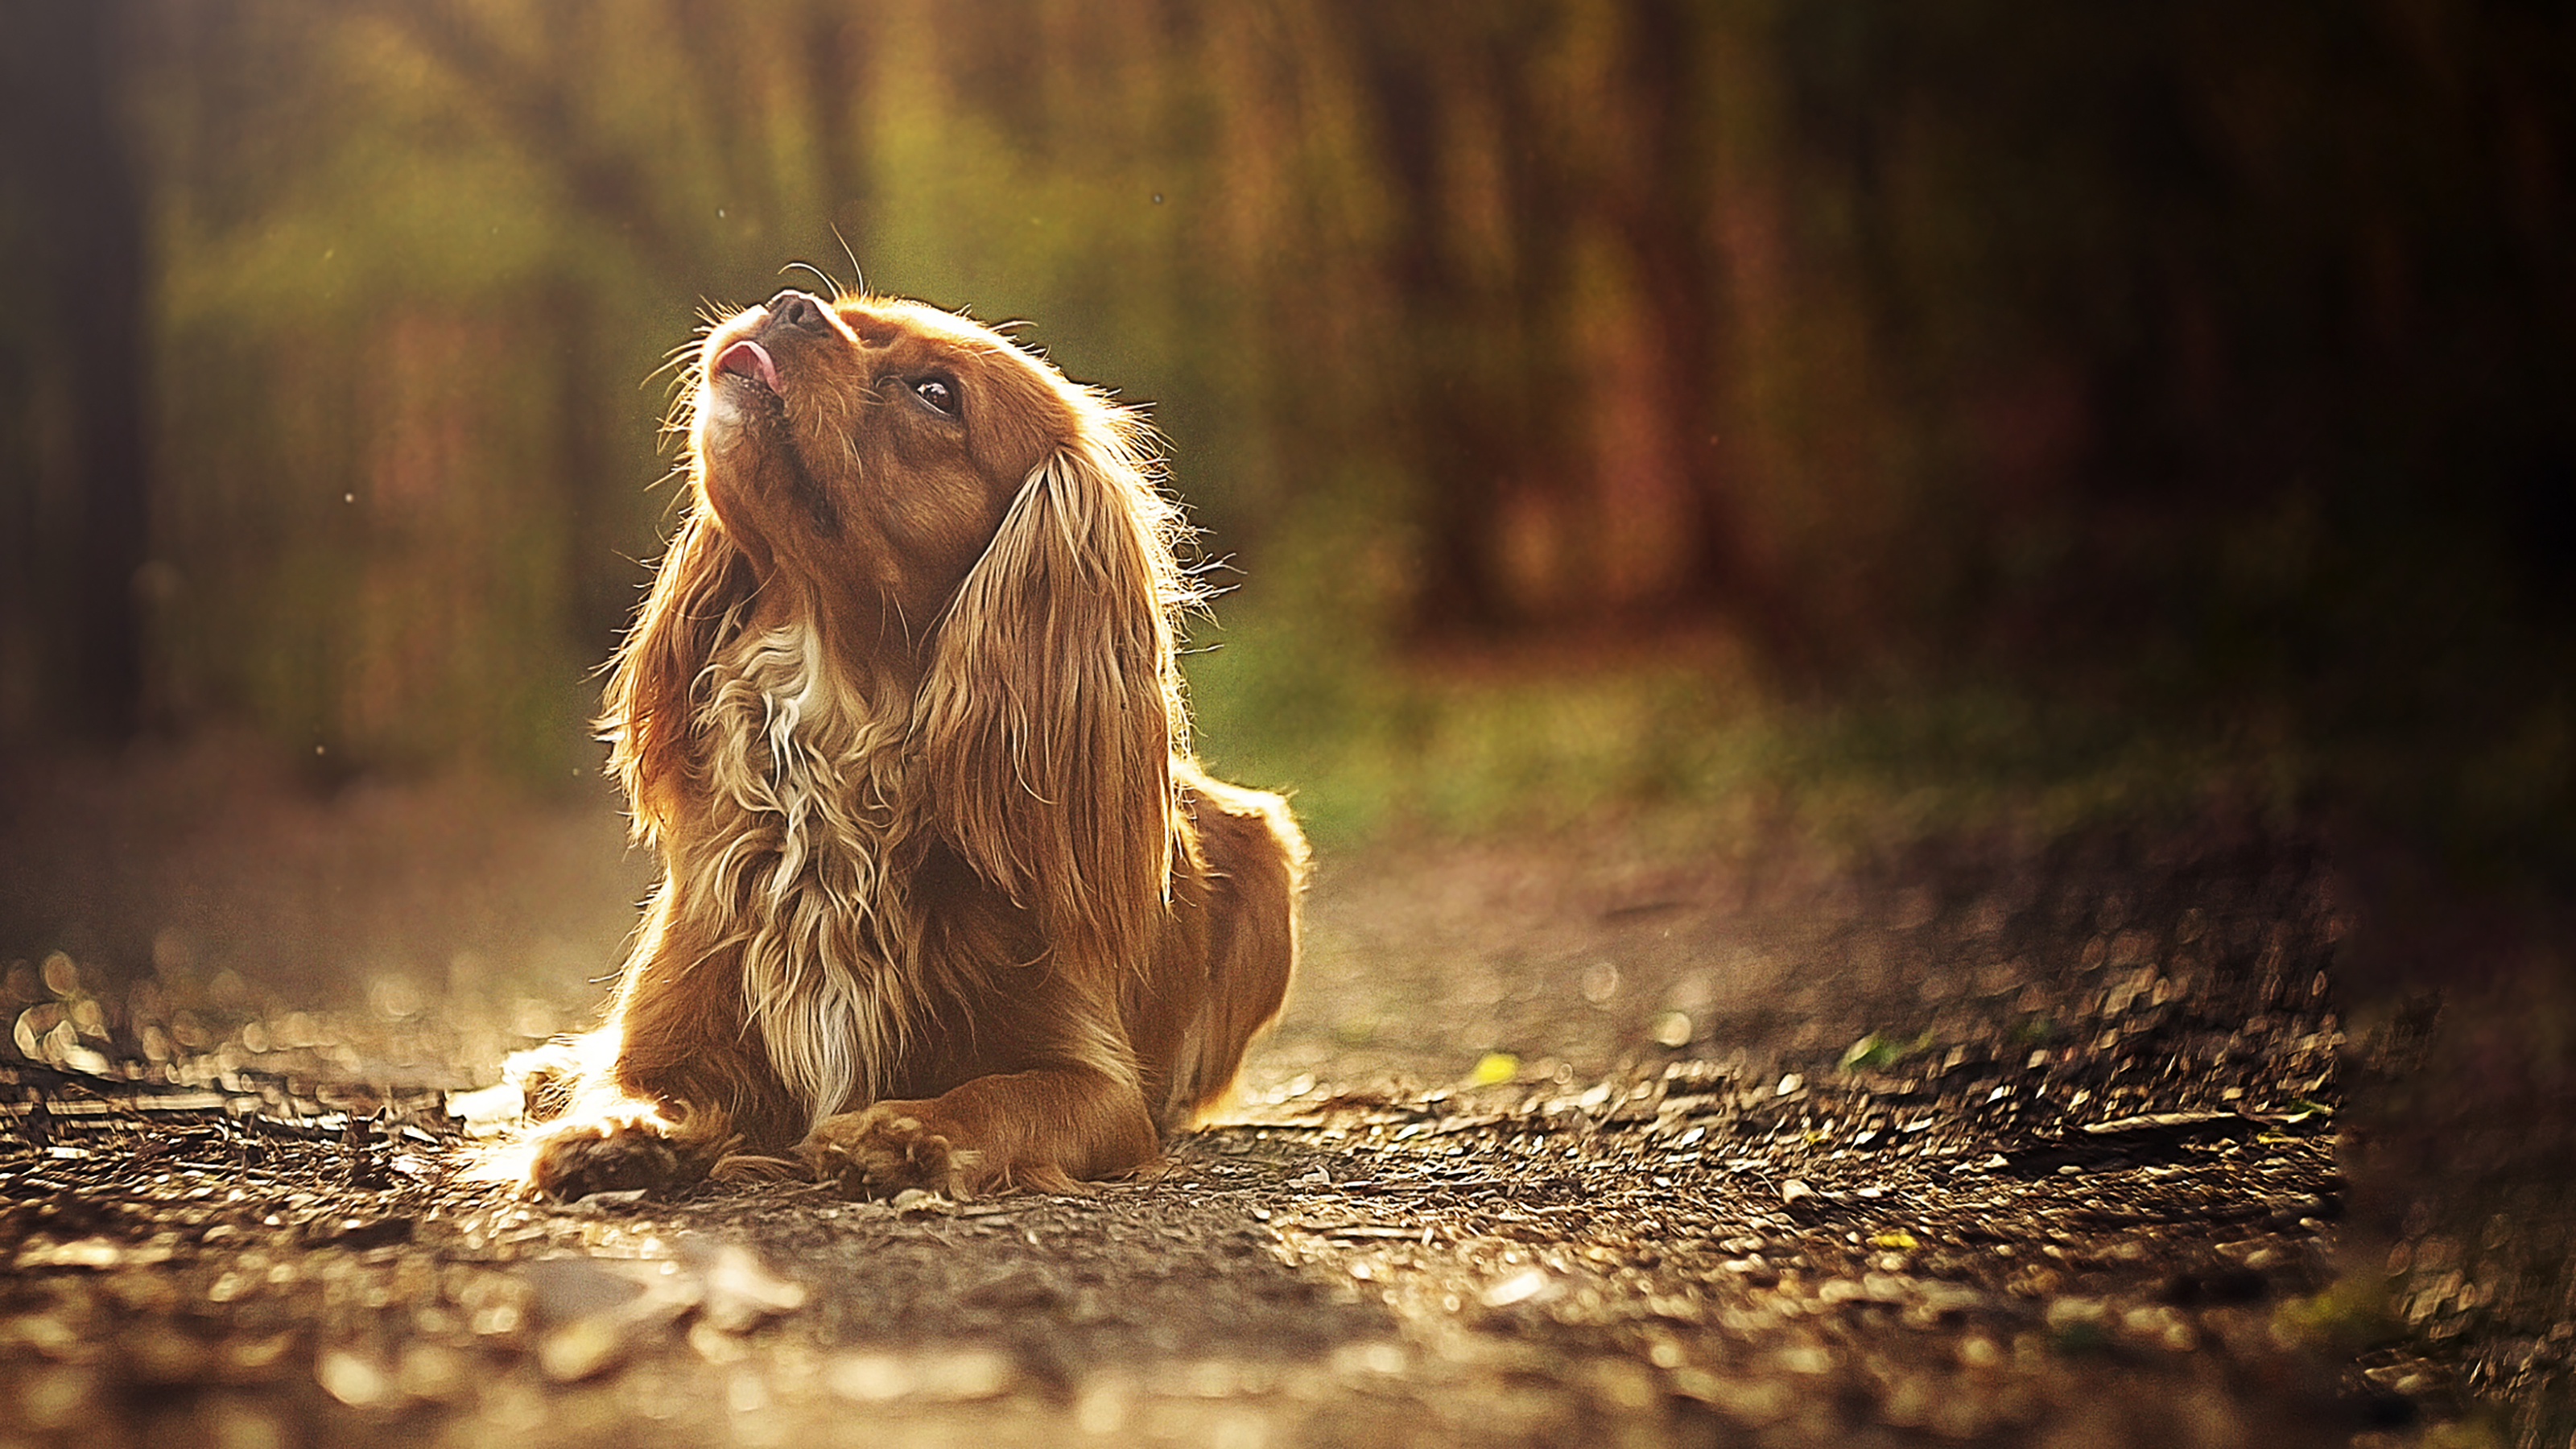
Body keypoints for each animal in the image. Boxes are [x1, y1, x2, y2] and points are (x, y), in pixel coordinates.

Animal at [505, 284, 1308, 1196]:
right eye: (840, 311)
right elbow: (629, 1078)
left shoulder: (1099, 1087)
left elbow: (1004, 1097)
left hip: (1270, 853)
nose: (790, 304)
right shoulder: (673, 1021)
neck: (834, 729)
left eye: (936, 394)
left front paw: (903, 1133)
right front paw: (612, 1132)